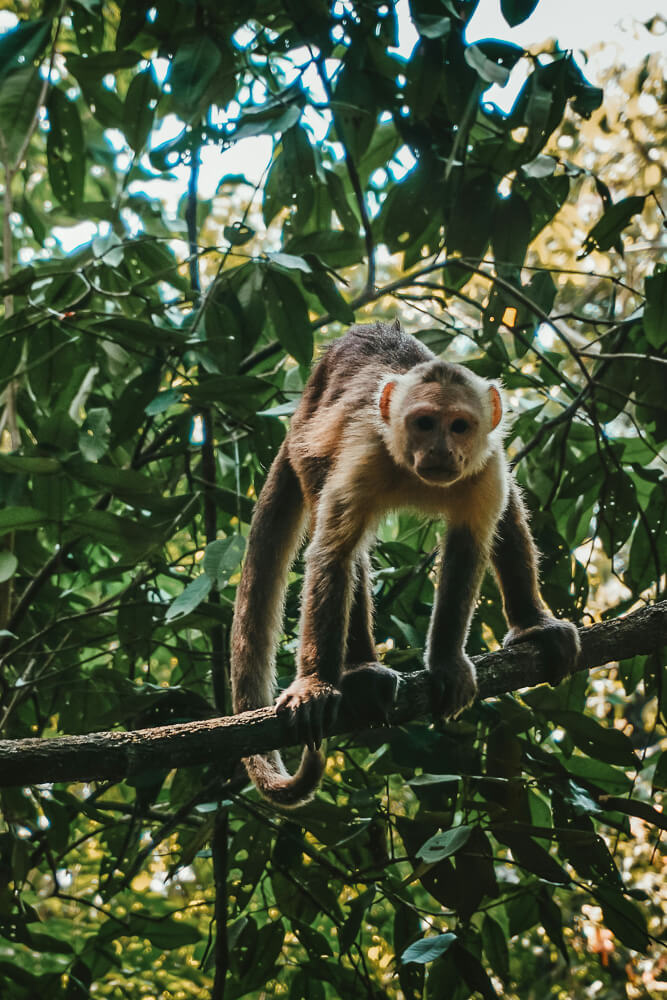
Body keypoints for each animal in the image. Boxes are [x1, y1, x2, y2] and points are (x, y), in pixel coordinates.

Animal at [232, 324, 580, 808]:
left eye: (458, 426)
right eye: (424, 423)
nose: (439, 451)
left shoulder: (485, 464)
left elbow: (470, 545)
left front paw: (447, 662)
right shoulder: (366, 454)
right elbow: (333, 554)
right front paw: (316, 684)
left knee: (508, 509)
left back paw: (533, 623)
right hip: (307, 450)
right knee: (345, 547)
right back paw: (360, 672)